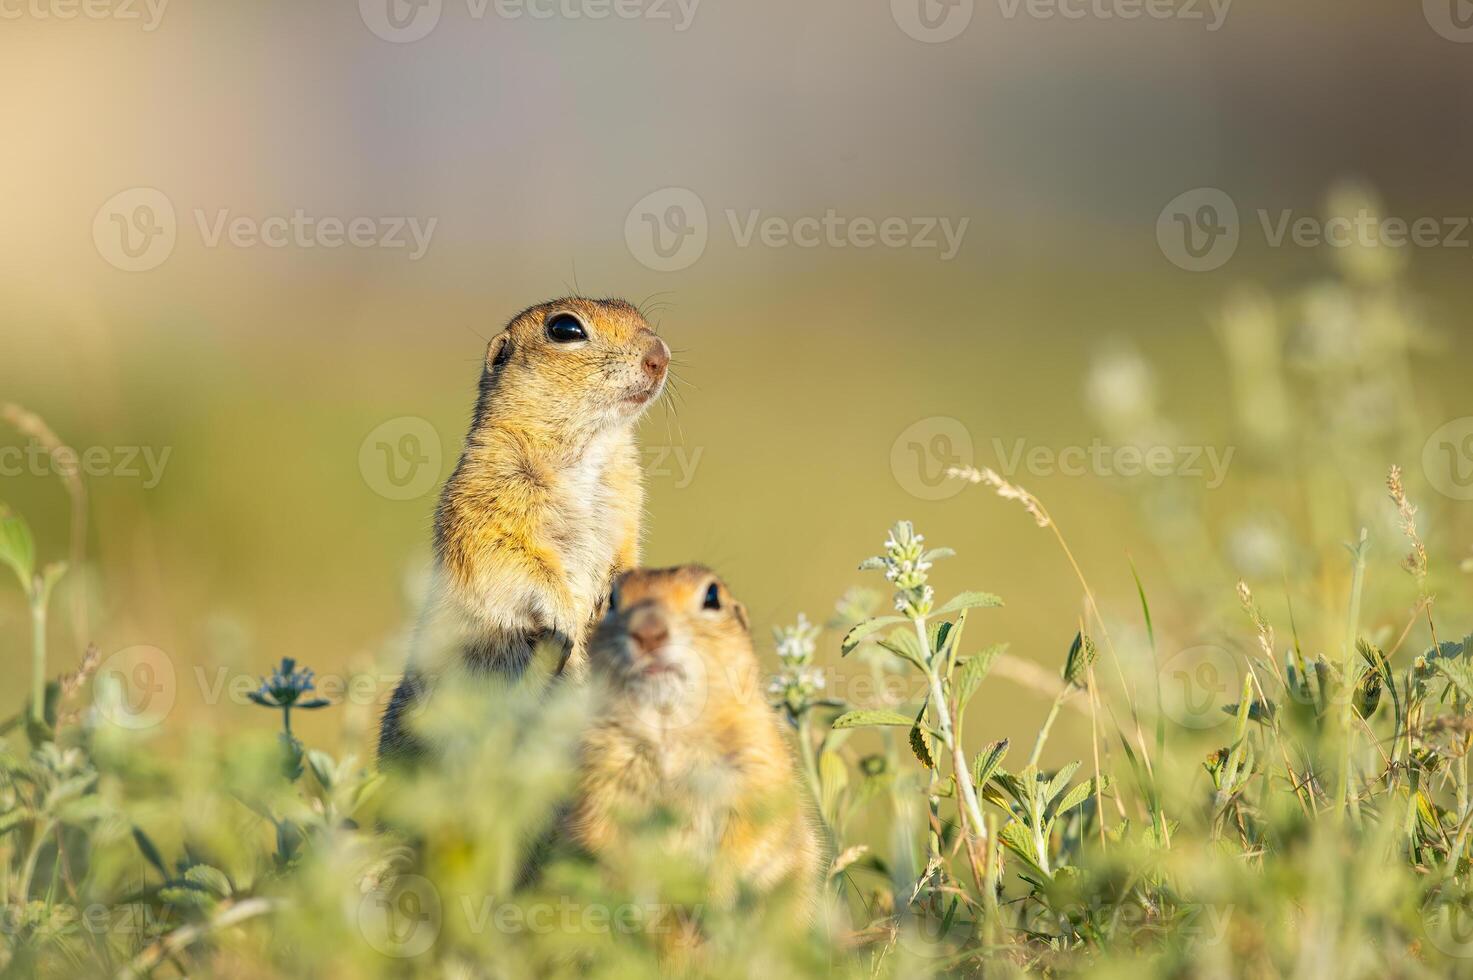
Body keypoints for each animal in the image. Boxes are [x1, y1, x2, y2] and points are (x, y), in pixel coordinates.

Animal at [377, 294, 671, 760]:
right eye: (565, 329)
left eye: (636, 313)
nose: (659, 355)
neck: (589, 446)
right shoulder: (487, 503)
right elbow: (514, 560)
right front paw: (566, 618)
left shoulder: (627, 508)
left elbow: (625, 558)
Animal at [565, 565, 824, 907]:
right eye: (611, 600)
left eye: (712, 596)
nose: (648, 632)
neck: (669, 729)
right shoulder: (600, 781)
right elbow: (601, 839)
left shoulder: (758, 766)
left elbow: (751, 839)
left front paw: (715, 898)